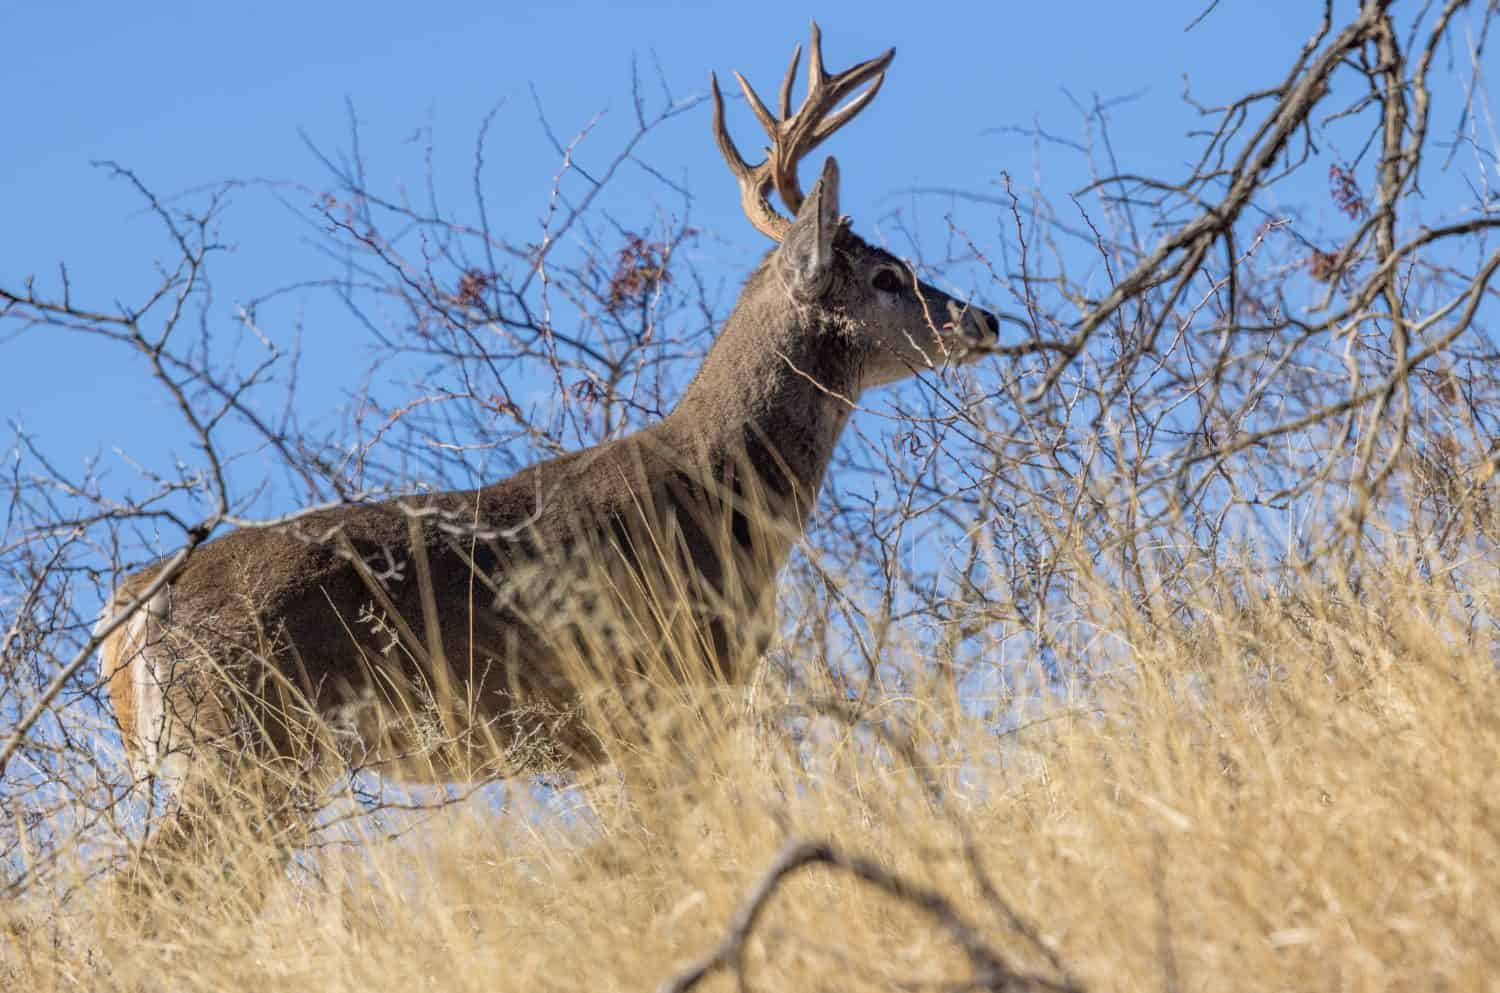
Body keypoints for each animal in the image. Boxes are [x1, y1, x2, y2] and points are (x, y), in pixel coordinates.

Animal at [94, 23, 998, 895]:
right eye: (889, 276)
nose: (985, 320)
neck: (719, 489)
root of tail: (131, 608)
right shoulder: (660, 691)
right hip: (244, 745)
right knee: (142, 891)